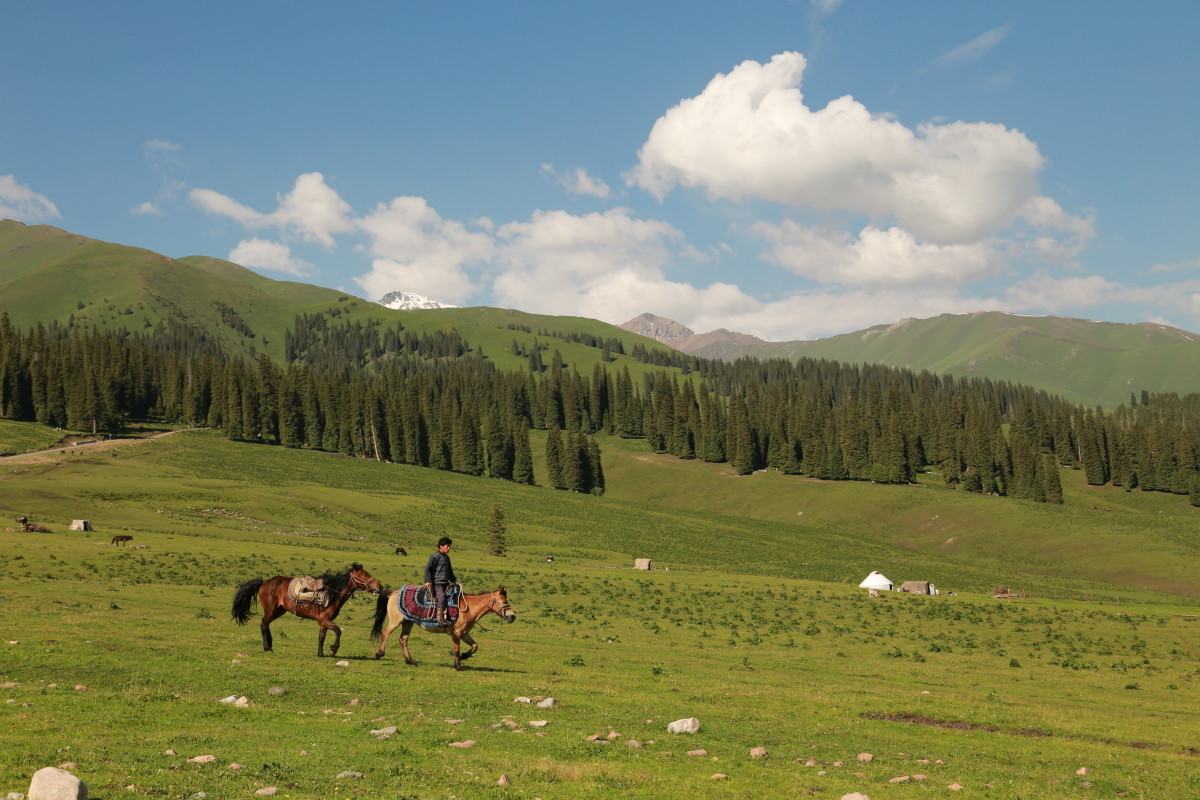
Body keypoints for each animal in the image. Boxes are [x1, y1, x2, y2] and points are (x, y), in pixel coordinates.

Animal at [231, 563, 381, 657]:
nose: (379, 586)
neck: (333, 593)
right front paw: (333, 650)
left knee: (266, 624)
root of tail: (264, 582)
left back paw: (270, 645)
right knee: (263, 624)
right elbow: (338, 631)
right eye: (364, 576)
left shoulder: (323, 622)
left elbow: (321, 637)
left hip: (278, 611)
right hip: (271, 610)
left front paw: (320, 654)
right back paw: (267, 647)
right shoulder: (324, 620)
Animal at [367, 587, 513, 671]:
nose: (513, 616)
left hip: (408, 623)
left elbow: (474, 646)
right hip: (395, 621)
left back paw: (410, 661)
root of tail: (393, 593)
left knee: (403, 639)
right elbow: (456, 649)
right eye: (504, 602)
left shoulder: (464, 633)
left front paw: (464, 656)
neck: (468, 608)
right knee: (385, 633)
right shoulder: (456, 633)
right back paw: (379, 654)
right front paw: (458, 666)